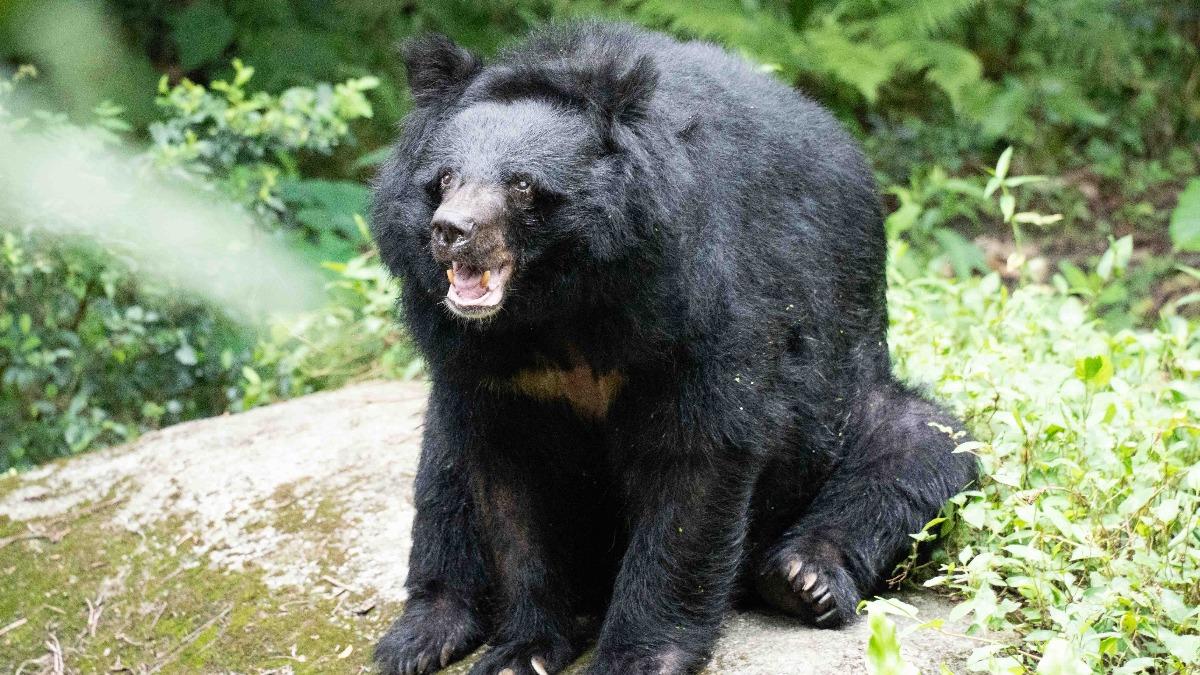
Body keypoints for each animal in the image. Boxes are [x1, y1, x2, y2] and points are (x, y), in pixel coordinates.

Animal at [370, 21, 978, 675]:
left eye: (523, 185)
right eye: (445, 179)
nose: (451, 231)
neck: (559, 305)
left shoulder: (700, 306)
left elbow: (696, 468)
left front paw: (636, 657)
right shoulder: (482, 363)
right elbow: (510, 488)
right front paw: (520, 651)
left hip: (851, 401)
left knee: (919, 448)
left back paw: (803, 578)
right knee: (441, 485)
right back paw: (422, 632)